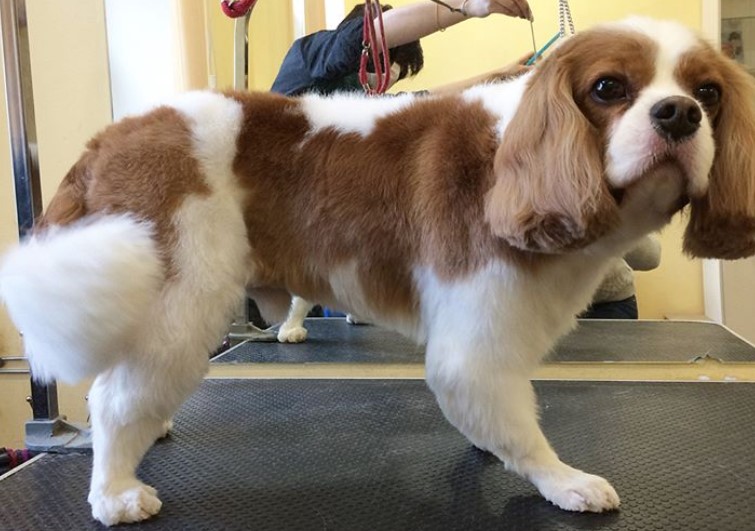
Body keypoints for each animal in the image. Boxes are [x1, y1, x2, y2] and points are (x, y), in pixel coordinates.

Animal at [1, 16, 755, 528]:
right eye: (608, 88)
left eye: (709, 92)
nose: (679, 114)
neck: (514, 159)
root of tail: (113, 135)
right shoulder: (474, 328)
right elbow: (515, 420)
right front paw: (559, 479)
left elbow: (495, 409)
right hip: (182, 292)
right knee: (113, 397)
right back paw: (113, 491)